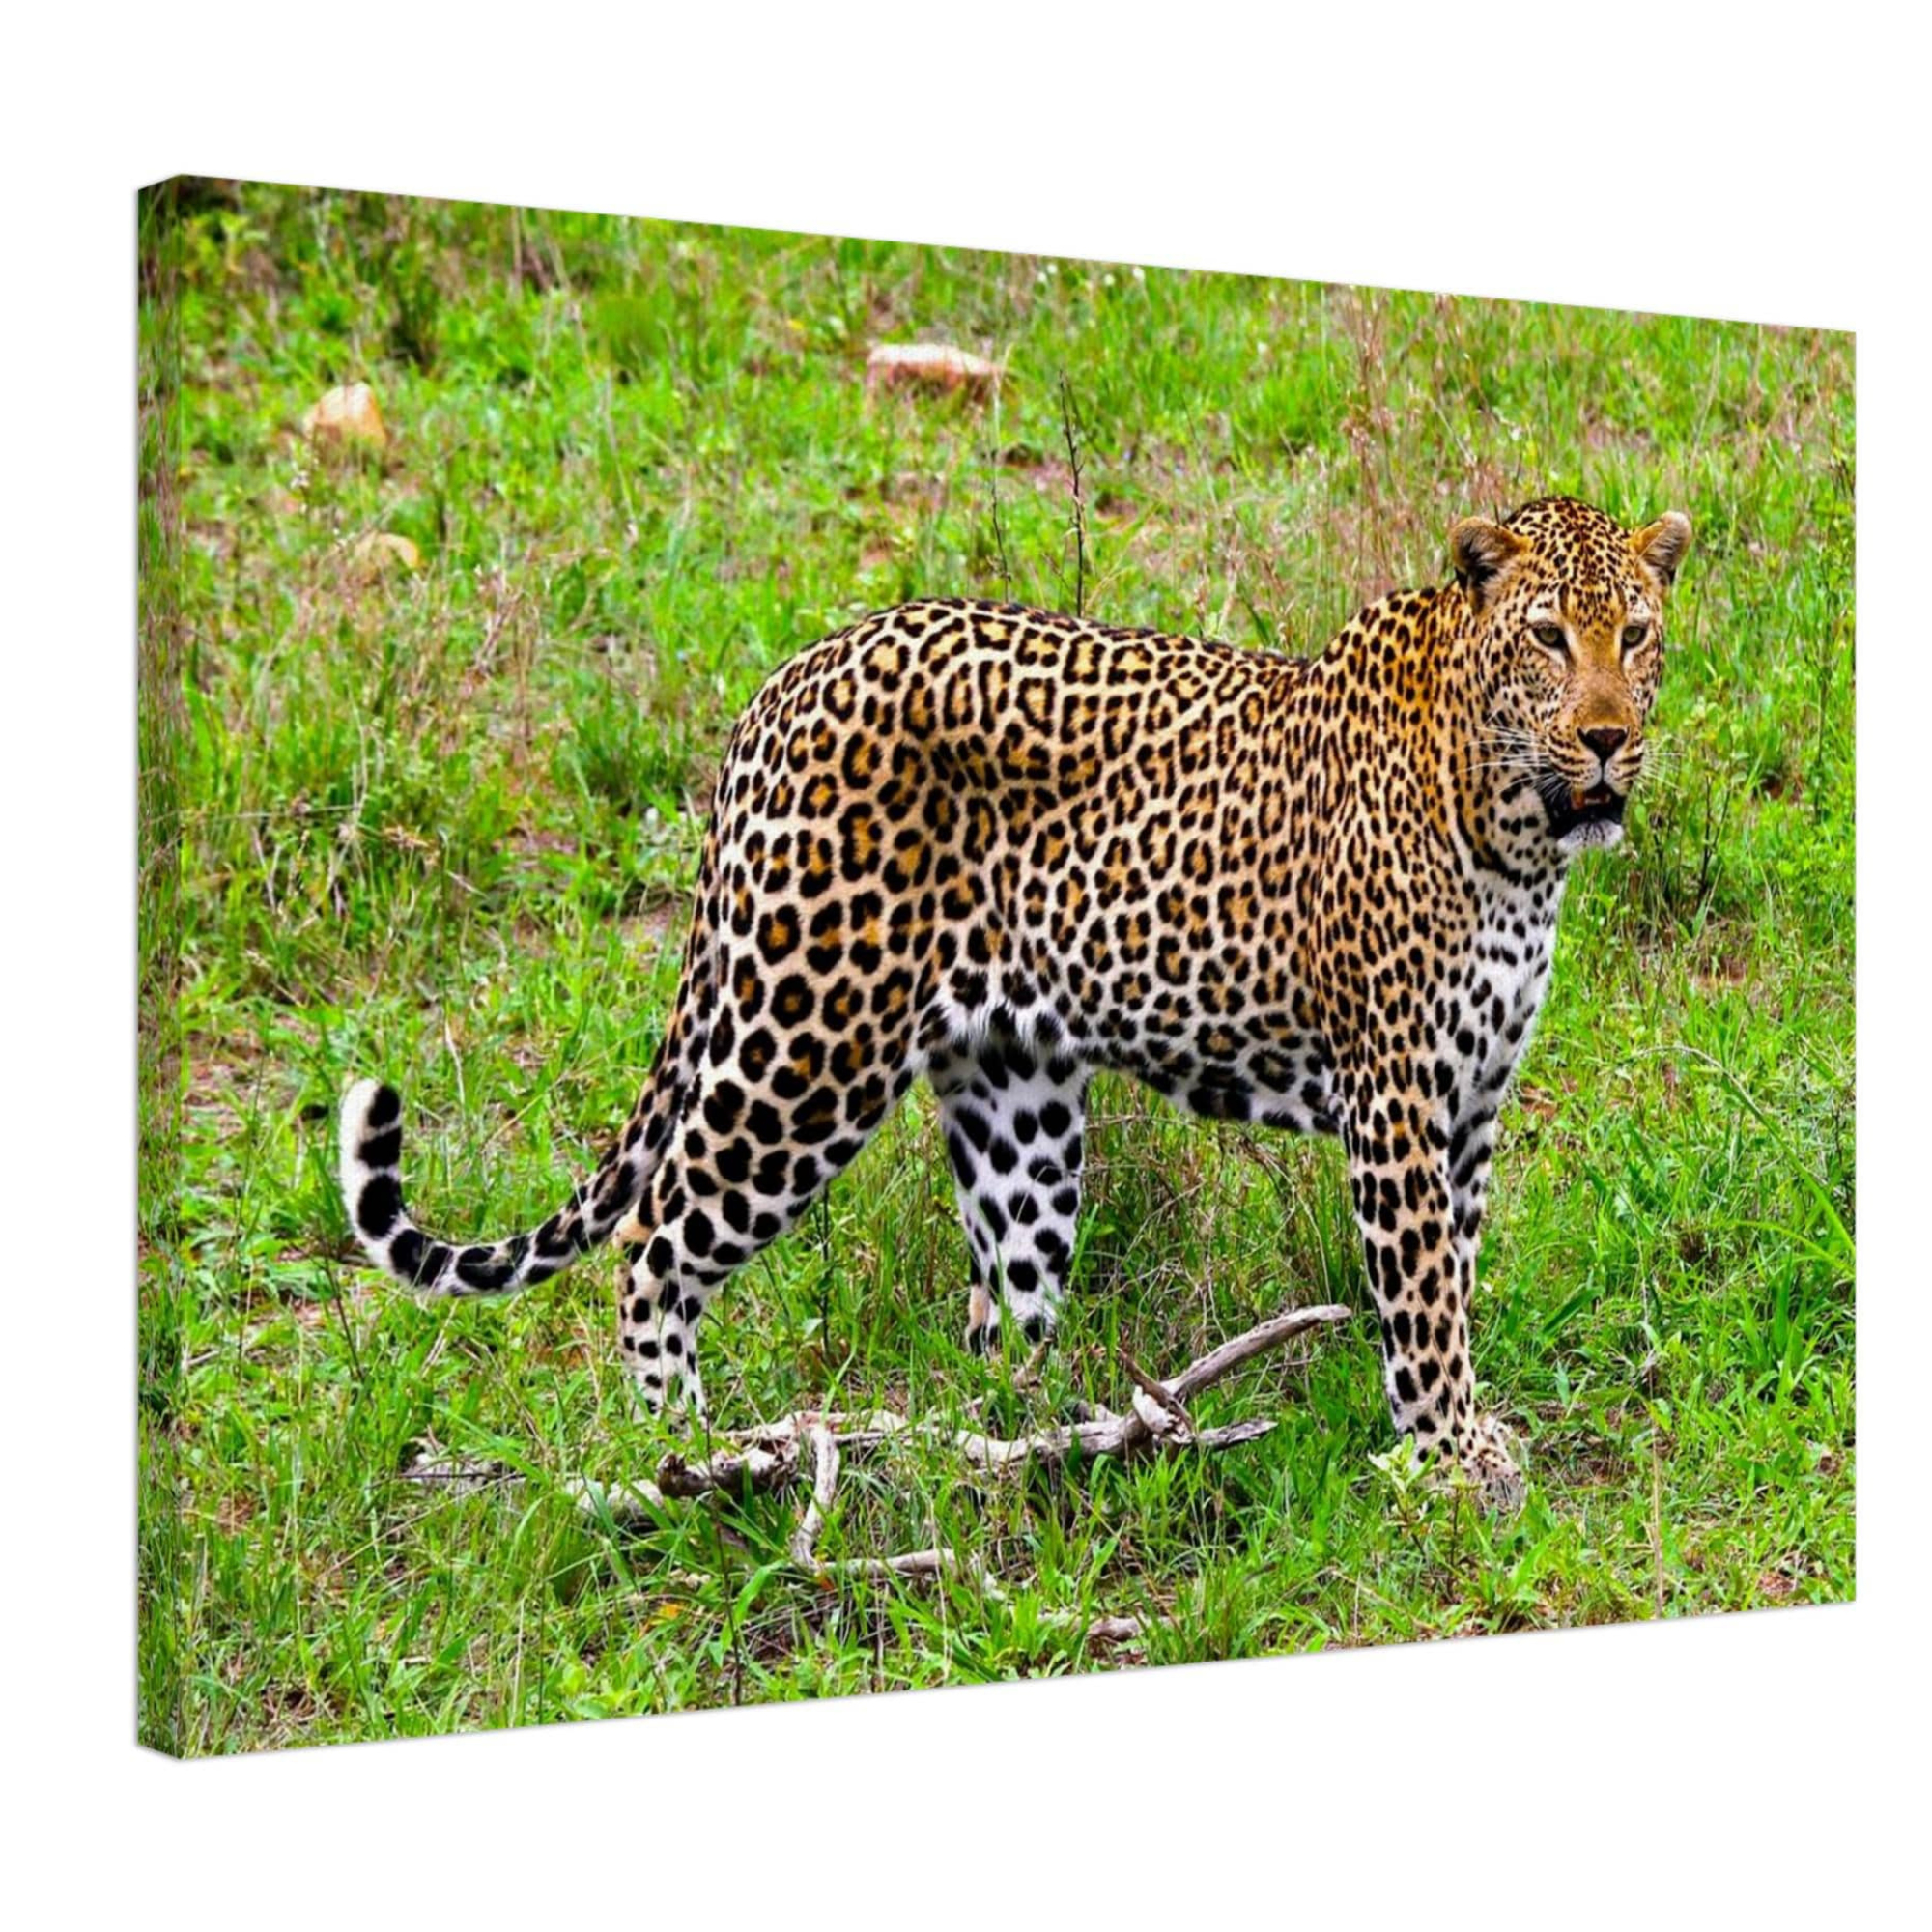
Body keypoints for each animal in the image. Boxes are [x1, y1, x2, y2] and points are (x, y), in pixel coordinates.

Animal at [339, 494, 1691, 1509]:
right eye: (1546, 639)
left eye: (1633, 633)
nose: (1608, 738)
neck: (1519, 834)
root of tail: (777, 688)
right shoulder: (1397, 1090)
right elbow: (1417, 1290)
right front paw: (1449, 1457)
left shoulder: (1473, 1097)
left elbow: (1450, 1268)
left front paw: (1448, 1435)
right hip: (803, 1045)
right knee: (654, 1233)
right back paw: (679, 1449)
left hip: (1014, 1104)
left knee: (999, 1314)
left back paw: (1043, 1441)